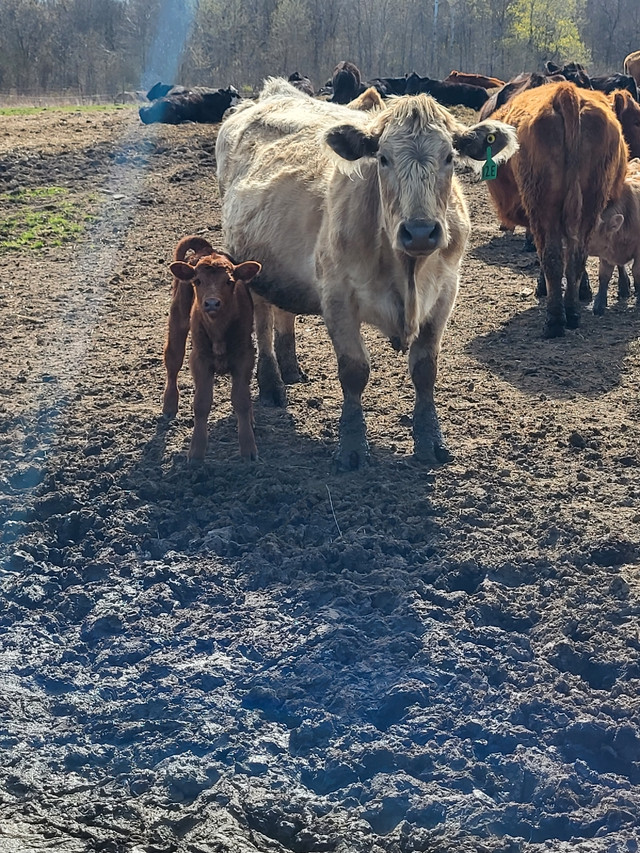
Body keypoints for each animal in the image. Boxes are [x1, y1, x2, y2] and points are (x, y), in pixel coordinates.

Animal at [164, 236, 261, 462]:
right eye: (198, 281)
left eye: (229, 281)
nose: (211, 303)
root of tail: (206, 249)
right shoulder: (199, 360)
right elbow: (201, 403)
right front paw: (196, 452)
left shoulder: (245, 356)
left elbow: (241, 399)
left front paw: (248, 448)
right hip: (178, 319)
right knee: (173, 360)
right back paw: (169, 405)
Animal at [215, 77, 518, 469]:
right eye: (383, 159)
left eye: (450, 157)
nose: (420, 232)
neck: (406, 271)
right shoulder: (337, 296)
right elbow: (354, 370)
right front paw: (353, 448)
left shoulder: (445, 292)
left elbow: (425, 369)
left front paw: (430, 442)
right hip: (249, 263)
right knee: (263, 322)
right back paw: (271, 385)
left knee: (283, 312)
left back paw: (291, 368)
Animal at [488, 82, 628, 337]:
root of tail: (565, 92)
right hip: (589, 203)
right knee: (576, 255)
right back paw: (572, 312)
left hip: (543, 206)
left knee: (552, 256)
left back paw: (554, 320)